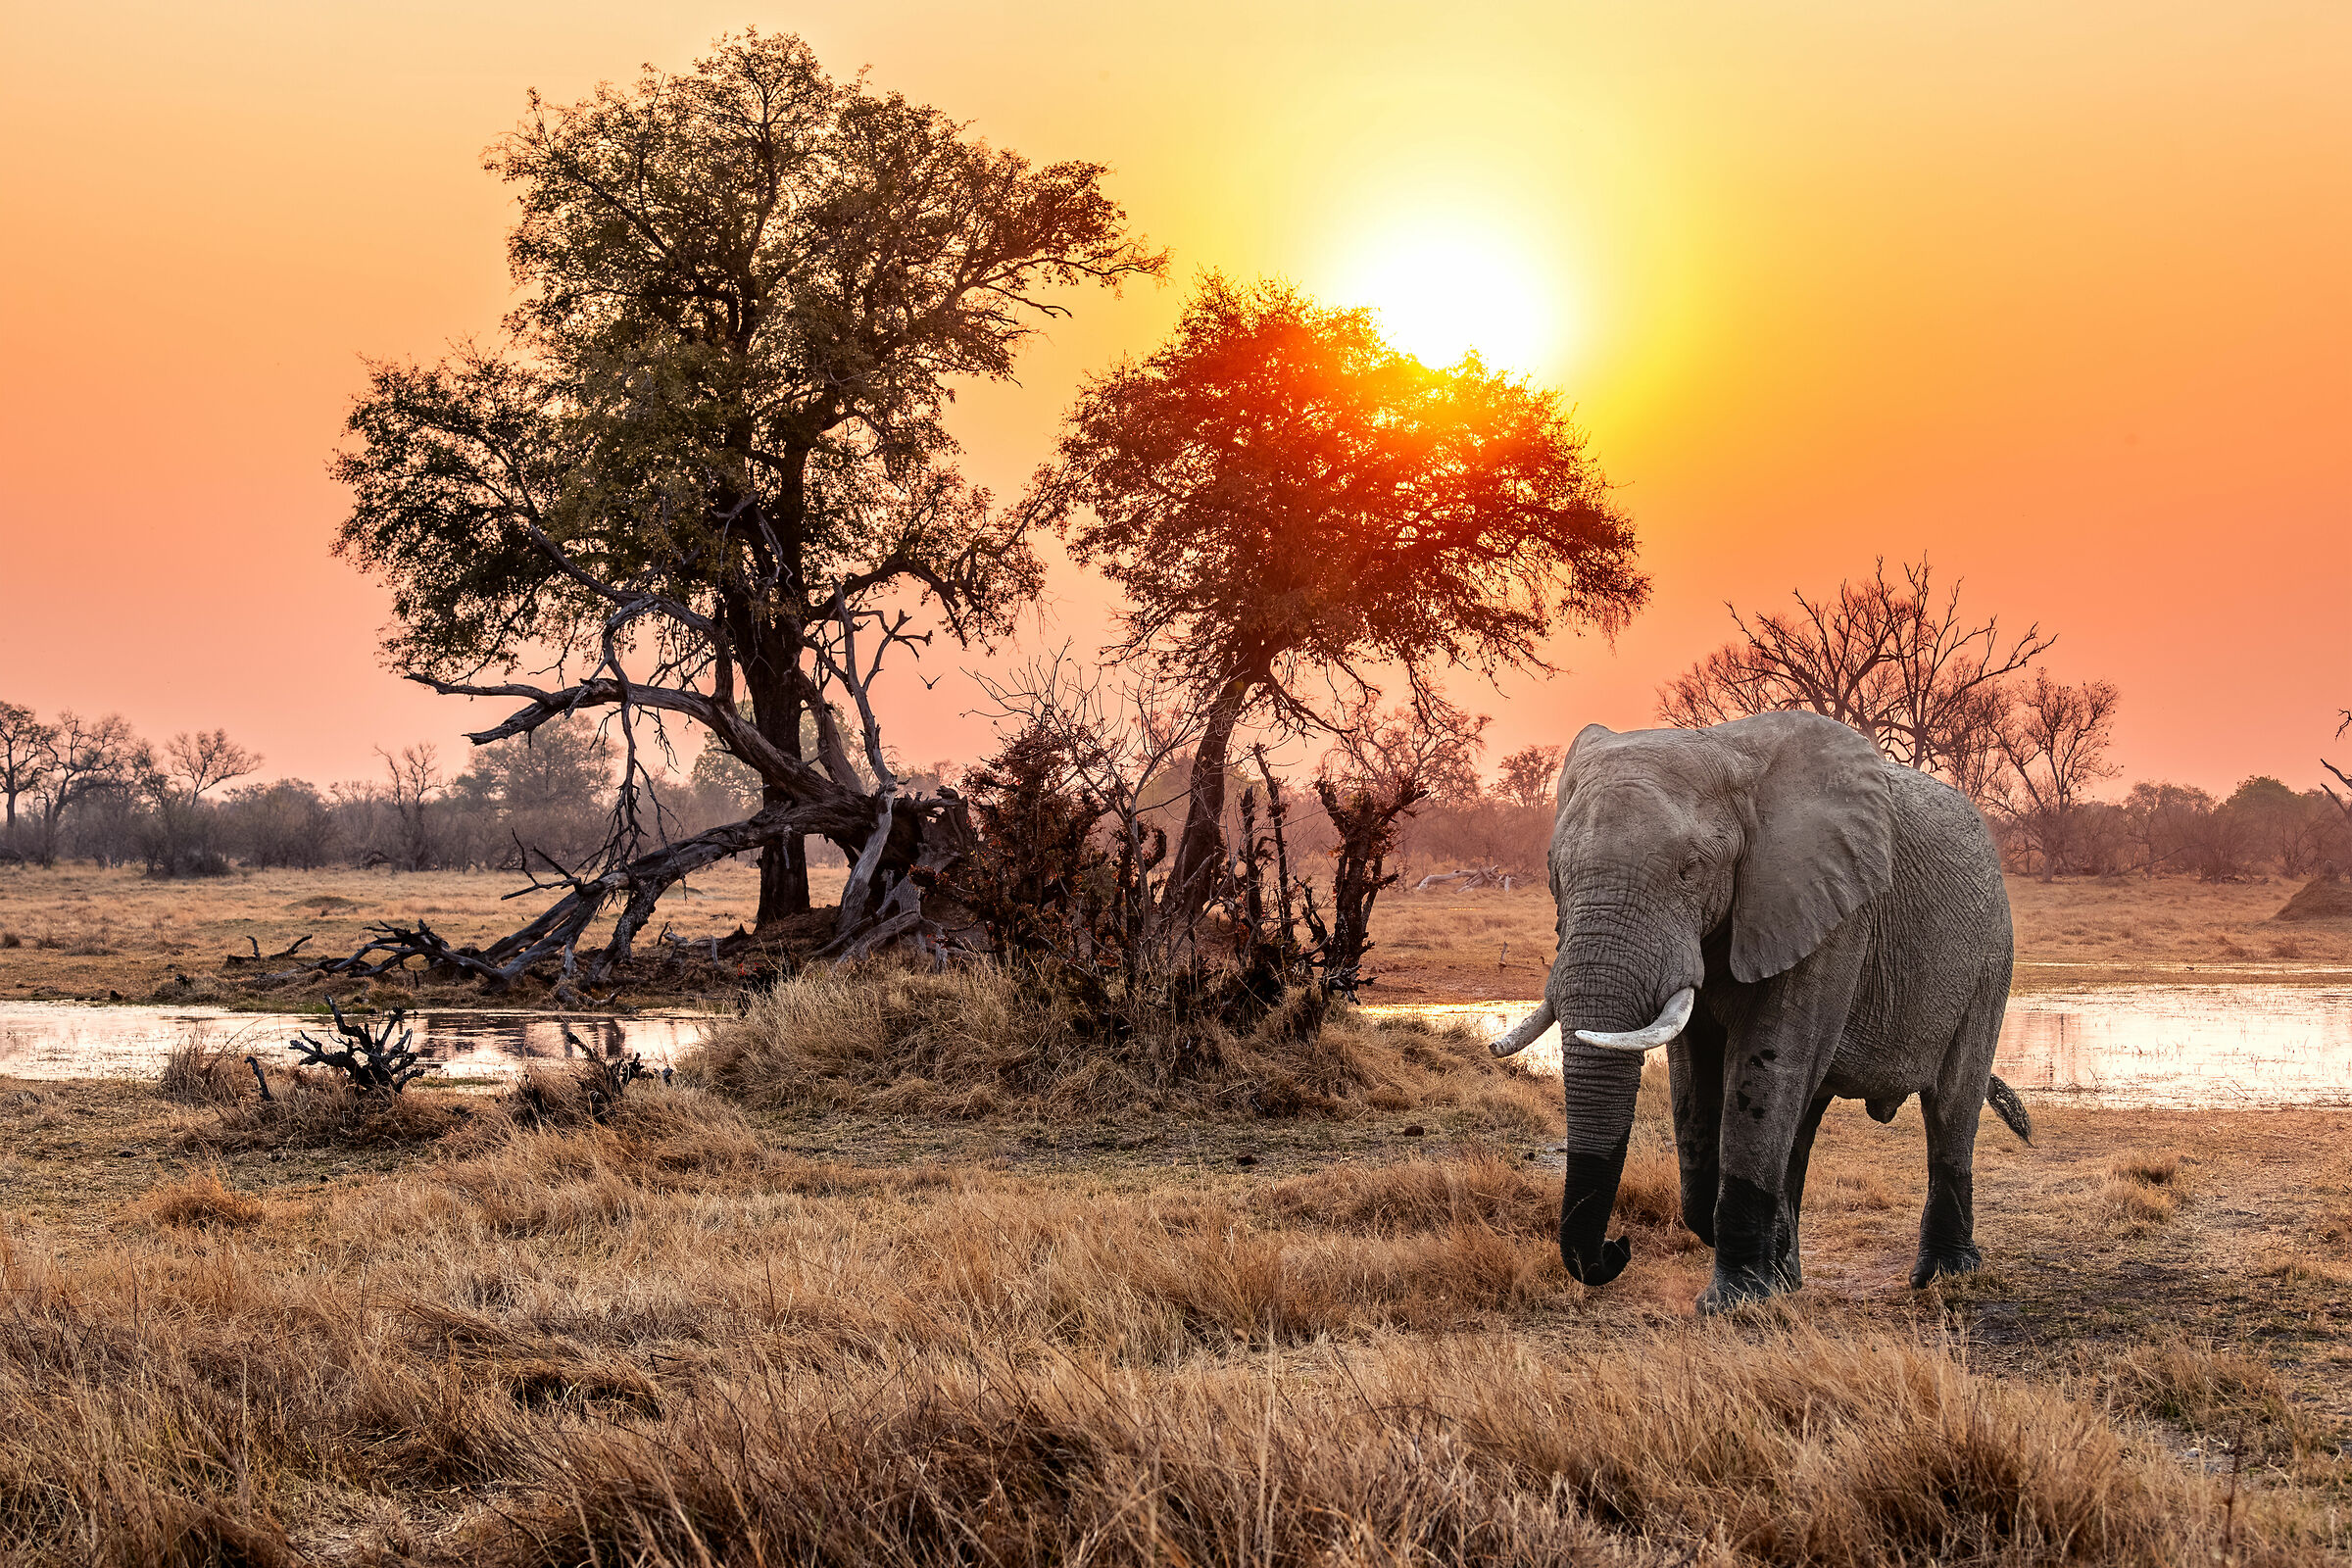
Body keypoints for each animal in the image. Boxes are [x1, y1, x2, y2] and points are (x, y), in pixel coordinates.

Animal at [1489, 710, 2031, 1314]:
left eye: (1691, 869)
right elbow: (1696, 1077)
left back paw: (1943, 1276)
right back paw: (1788, 1276)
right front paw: (1762, 1281)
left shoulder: (1831, 911)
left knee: (1951, 1106)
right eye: (1554, 873)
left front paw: (1733, 1304)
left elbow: (1769, 1064)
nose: (1616, 1248)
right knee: (1803, 1118)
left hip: (1990, 959)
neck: (1729, 752)